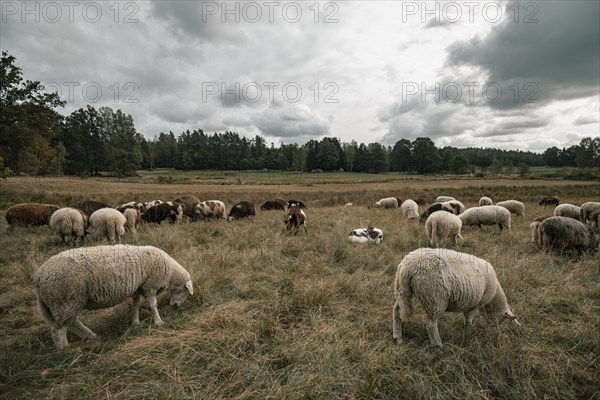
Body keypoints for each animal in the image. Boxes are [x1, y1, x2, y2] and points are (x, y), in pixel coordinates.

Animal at [32, 242, 193, 348]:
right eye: (184, 291)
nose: (175, 306)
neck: (170, 272)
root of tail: (39, 277)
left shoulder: (137, 287)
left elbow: (135, 304)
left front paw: (135, 322)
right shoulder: (150, 286)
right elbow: (153, 305)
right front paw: (159, 322)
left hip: (61, 303)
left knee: (70, 322)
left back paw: (90, 336)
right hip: (65, 299)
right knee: (59, 329)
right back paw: (65, 349)